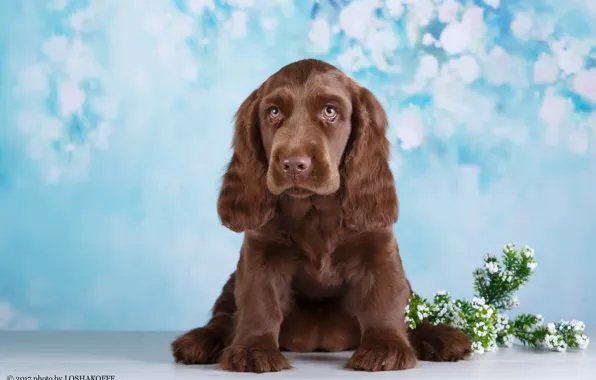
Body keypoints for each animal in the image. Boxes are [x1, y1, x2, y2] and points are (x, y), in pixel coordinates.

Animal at [170, 58, 472, 372]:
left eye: (330, 111)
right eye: (273, 112)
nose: (293, 164)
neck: (313, 210)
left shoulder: (378, 245)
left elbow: (384, 296)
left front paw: (384, 347)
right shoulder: (260, 251)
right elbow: (258, 300)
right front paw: (253, 349)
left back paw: (440, 337)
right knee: (223, 316)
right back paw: (199, 341)